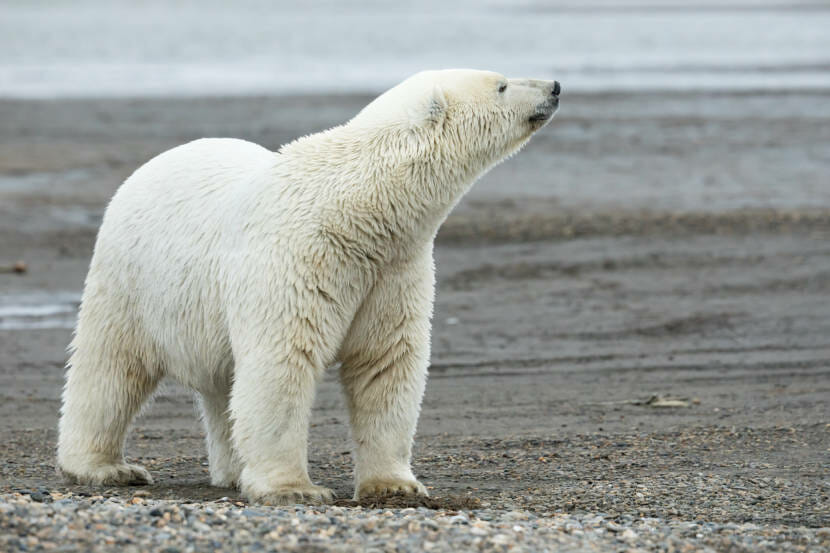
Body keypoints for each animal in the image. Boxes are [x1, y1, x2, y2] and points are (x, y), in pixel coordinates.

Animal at [58, 69, 564, 504]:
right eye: (501, 84)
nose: (555, 87)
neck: (358, 212)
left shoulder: (393, 270)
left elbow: (385, 363)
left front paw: (394, 484)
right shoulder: (299, 258)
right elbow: (282, 362)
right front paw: (293, 488)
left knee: (223, 386)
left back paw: (232, 470)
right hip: (131, 279)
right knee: (109, 368)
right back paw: (105, 466)